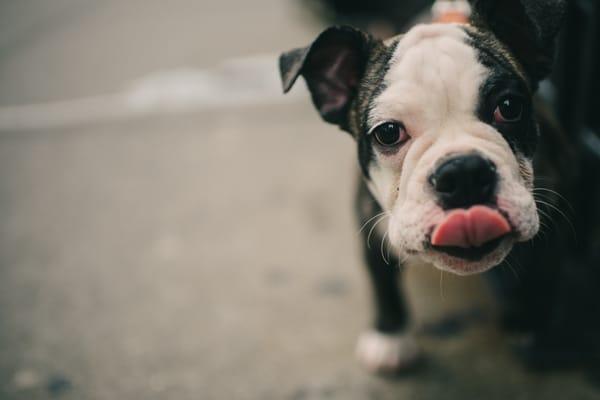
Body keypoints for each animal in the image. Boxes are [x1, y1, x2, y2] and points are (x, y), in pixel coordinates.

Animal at [278, 0, 592, 376]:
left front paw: (530, 325)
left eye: (509, 107)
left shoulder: (560, 201)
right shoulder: (369, 218)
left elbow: (544, 271)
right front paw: (389, 338)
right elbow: (381, 278)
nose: (463, 171)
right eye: (387, 132)